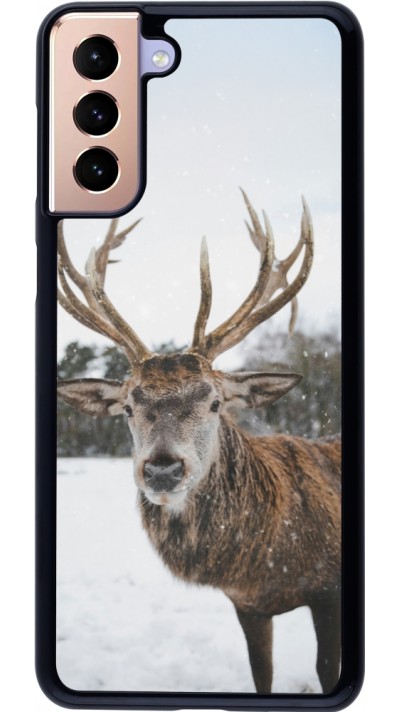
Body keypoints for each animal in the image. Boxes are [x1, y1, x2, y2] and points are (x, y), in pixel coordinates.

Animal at [57, 190, 341, 694]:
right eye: (127, 407)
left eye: (214, 402)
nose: (162, 469)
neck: (266, 565)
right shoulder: (247, 605)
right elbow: (261, 674)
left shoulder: (329, 591)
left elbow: (327, 670)